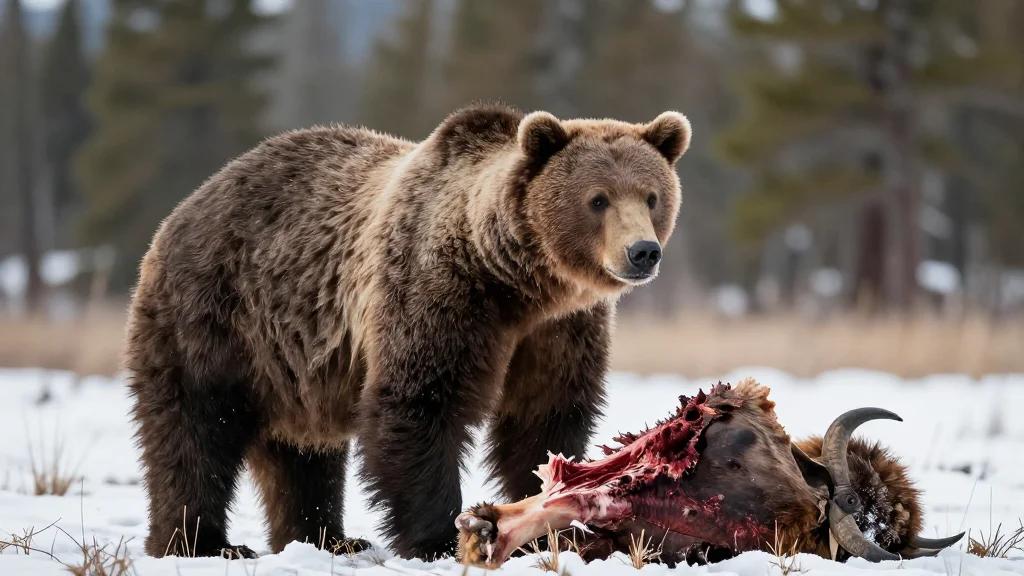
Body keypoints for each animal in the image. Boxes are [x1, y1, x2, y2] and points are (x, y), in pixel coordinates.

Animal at [125, 104, 691, 560]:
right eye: (597, 199)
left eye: (651, 196)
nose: (642, 251)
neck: (517, 283)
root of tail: (188, 205)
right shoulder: (440, 294)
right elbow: (420, 402)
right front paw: (441, 536)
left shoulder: (558, 331)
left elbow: (544, 417)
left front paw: (552, 520)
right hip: (216, 316)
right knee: (195, 429)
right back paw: (201, 543)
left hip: (295, 361)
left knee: (303, 453)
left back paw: (327, 538)